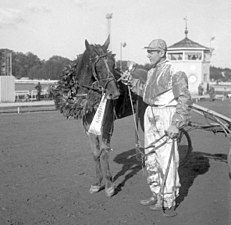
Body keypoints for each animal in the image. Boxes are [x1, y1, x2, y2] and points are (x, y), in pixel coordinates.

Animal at [52, 36, 146, 197]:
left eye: (113, 63)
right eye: (98, 66)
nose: (115, 93)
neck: (89, 99)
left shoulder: (106, 125)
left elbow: (104, 152)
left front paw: (109, 186)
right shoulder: (89, 127)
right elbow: (95, 153)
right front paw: (97, 183)